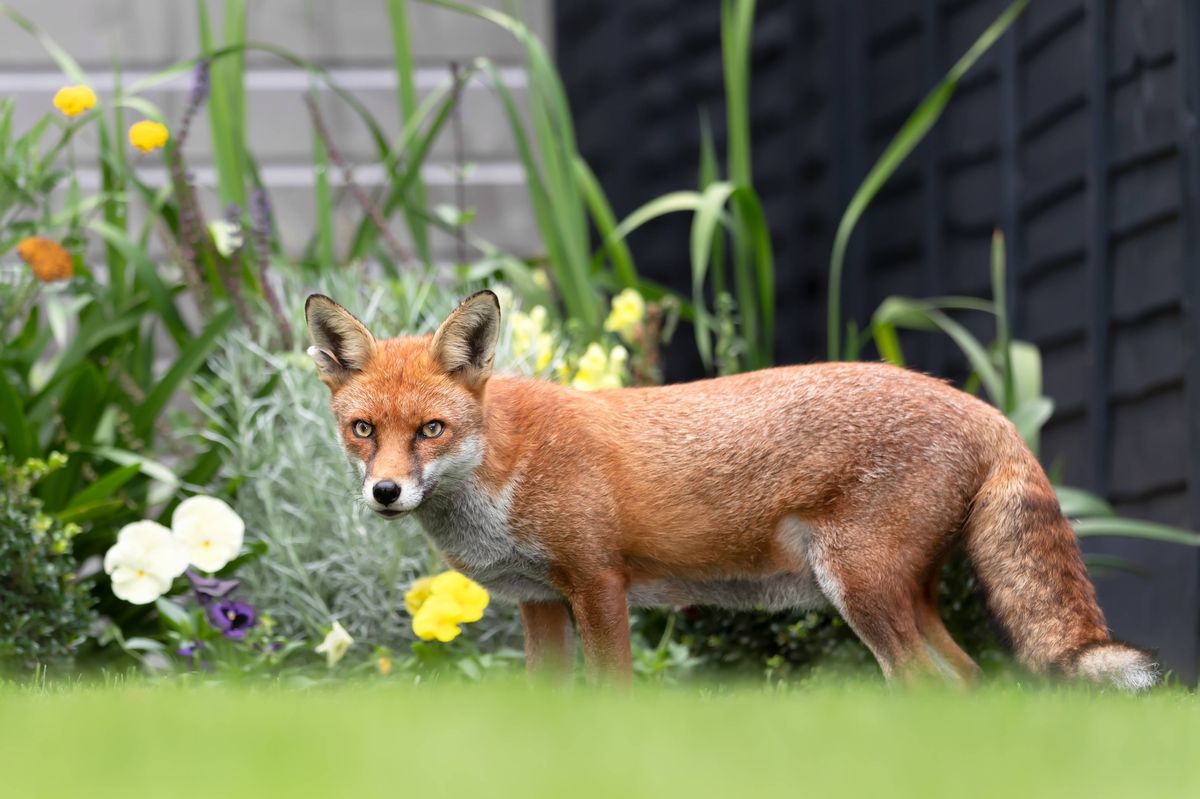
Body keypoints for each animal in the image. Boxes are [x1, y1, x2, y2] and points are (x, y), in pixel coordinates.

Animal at [304, 290, 1159, 690]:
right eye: (362, 429)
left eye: (431, 430)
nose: (386, 492)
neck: (504, 466)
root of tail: (984, 407)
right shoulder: (541, 602)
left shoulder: (598, 582)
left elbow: (612, 691)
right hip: (899, 595)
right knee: (971, 678)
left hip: (862, 590)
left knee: (928, 684)